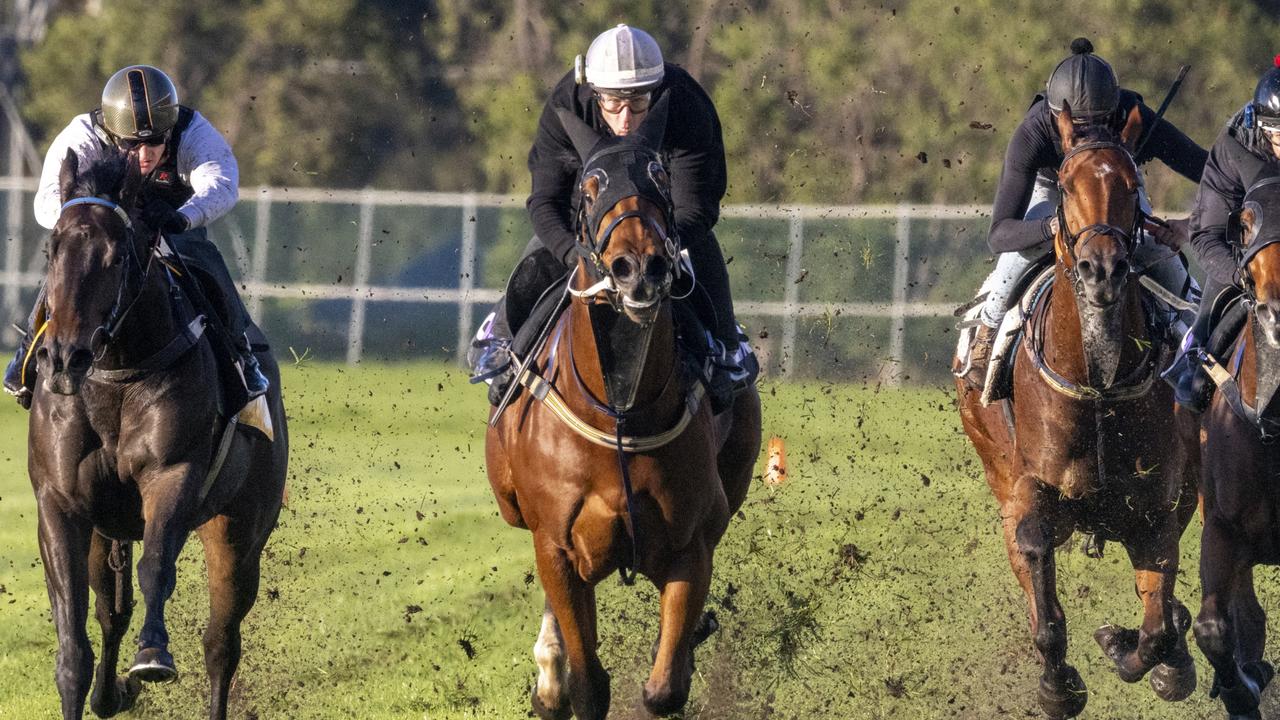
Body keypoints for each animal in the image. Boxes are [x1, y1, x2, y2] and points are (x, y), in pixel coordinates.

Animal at [28, 148, 290, 712]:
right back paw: (109, 695)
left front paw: (151, 656)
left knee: (221, 643)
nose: (62, 358)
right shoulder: (61, 501)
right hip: (107, 527)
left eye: (117, 256)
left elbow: (155, 568)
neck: (117, 373)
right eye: (53, 249)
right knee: (111, 609)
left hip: (240, 529)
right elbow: (75, 638)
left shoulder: (172, 475)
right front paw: (94, 686)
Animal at [481, 96, 757, 717]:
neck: (619, 414)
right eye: (590, 186)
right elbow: (587, 683)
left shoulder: (688, 547)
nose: (640, 266)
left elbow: (664, 687)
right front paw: (557, 677)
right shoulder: (558, 548)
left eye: (660, 176)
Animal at [957, 103, 1203, 712]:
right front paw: (1058, 686)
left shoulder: (1158, 505)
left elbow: (1156, 626)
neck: (1099, 387)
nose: (1102, 268)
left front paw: (1133, 648)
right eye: (1066, 185)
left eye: (1133, 184)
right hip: (997, 470)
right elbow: (1039, 574)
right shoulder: (1031, 490)